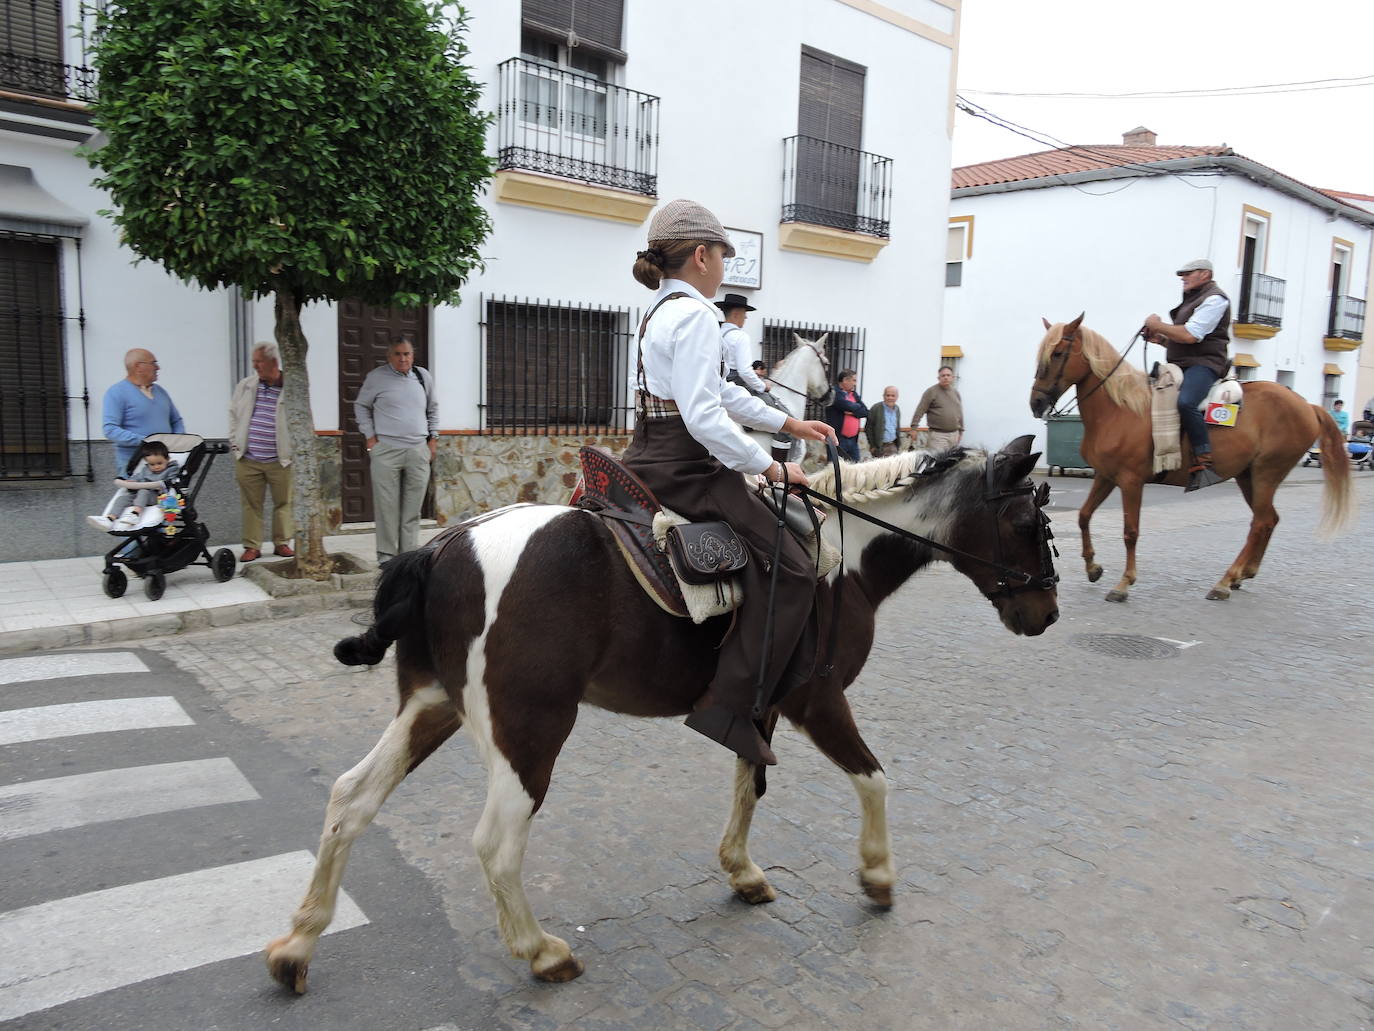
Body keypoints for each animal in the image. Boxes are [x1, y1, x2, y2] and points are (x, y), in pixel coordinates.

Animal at [265, 436, 1060, 990]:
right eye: (1026, 519)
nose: (1047, 611)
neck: (843, 554)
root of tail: (443, 547)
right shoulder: (818, 698)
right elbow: (873, 778)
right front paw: (877, 874)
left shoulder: (758, 702)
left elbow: (748, 782)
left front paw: (742, 870)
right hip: (529, 730)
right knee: (497, 842)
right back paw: (541, 951)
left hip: (433, 708)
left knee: (351, 798)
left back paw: (297, 944)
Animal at [1029, 315, 1354, 602]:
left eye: (1058, 353)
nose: (1037, 402)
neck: (1121, 409)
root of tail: (1308, 405)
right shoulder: (1107, 476)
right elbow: (1084, 516)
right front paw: (1093, 567)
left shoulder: (1131, 481)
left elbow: (1130, 531)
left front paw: (1124, 583)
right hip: (1248, 476)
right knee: (1268, 520)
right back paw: (1242, 574)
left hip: (1267, 472)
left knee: (1260, 523)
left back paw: (1225, 581)